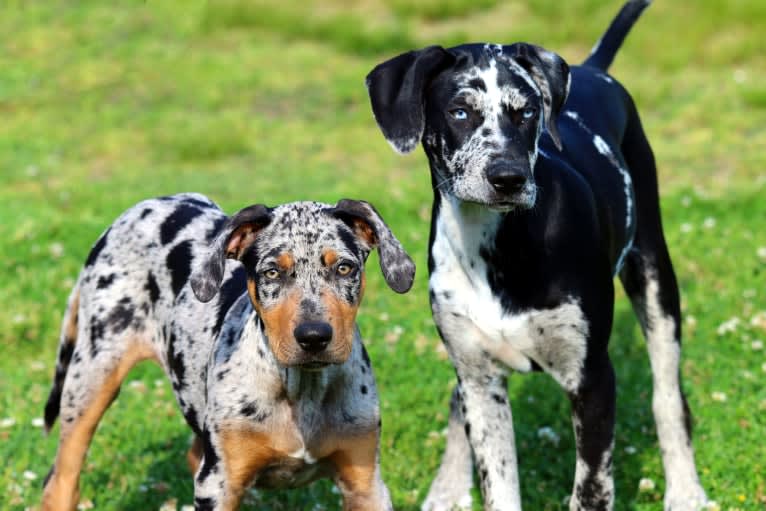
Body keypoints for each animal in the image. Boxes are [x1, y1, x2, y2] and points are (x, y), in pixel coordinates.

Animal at [368, 1, 712, 511]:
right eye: (460, 112)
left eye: (526, 112)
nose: (508, 177)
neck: (496, 246)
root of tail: (592, 68)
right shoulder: (481, 383)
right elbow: (497, 482)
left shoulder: (592, 380)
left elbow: (591, 489)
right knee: (456, 400)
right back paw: (447, 487)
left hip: (654, 276)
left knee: (668, 396)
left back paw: (686, 489)